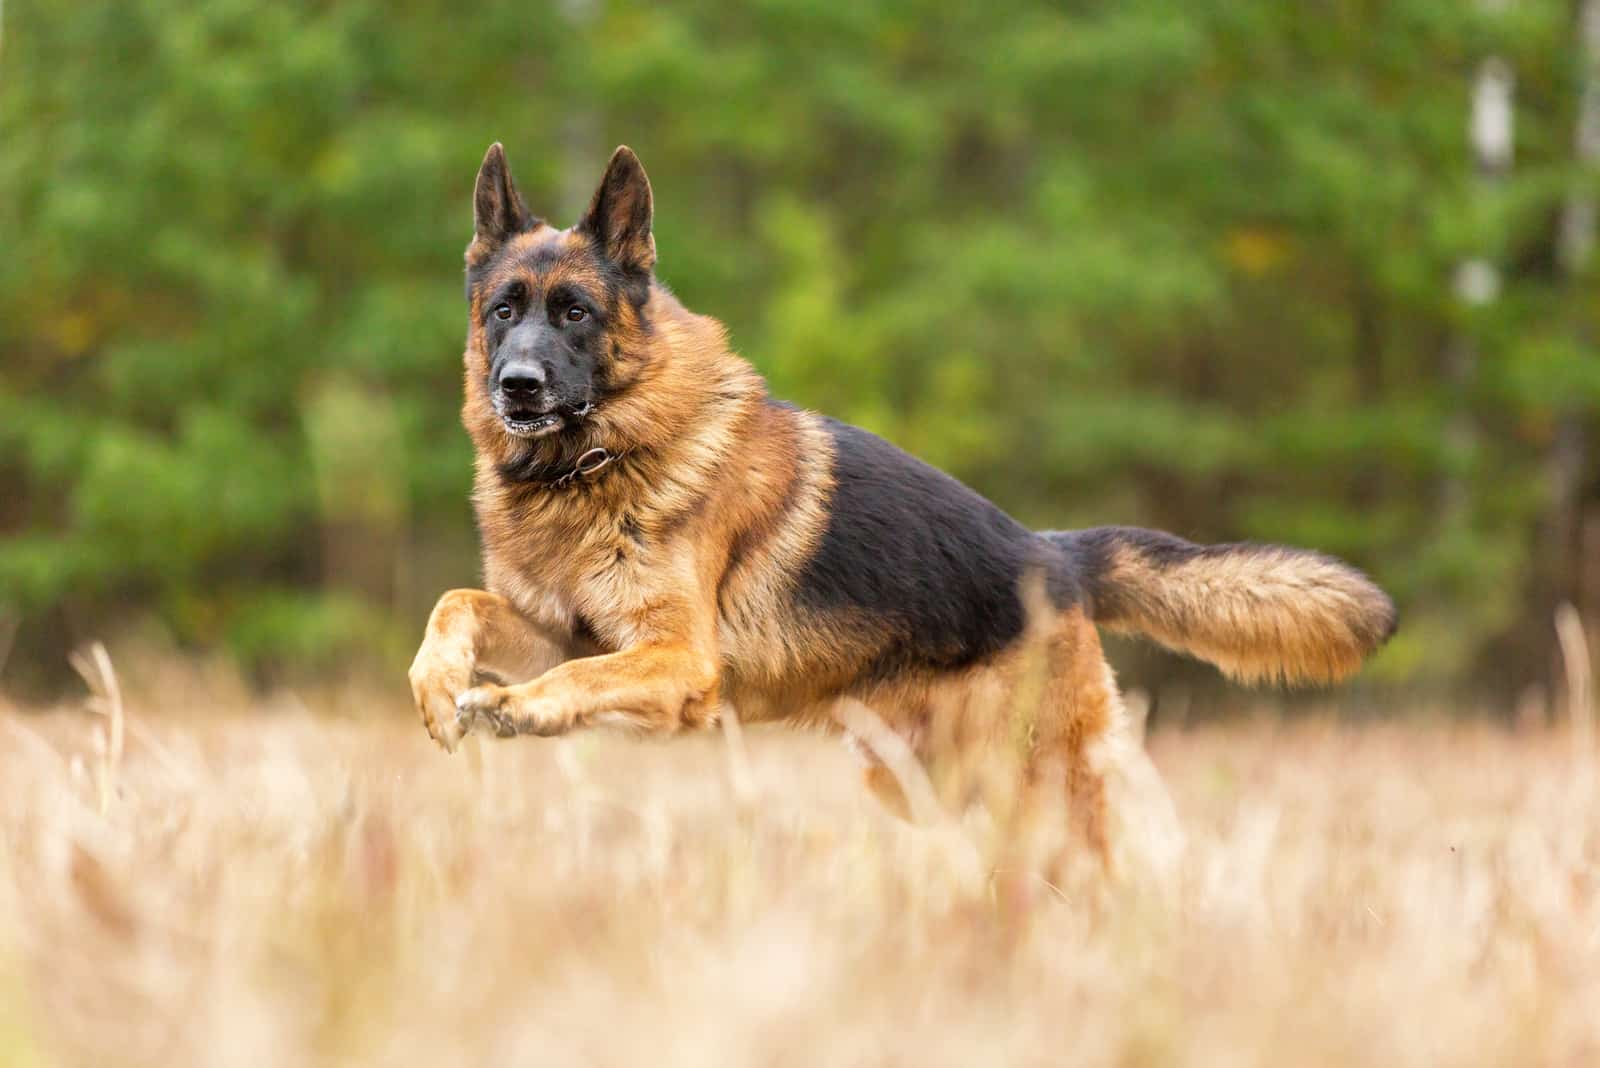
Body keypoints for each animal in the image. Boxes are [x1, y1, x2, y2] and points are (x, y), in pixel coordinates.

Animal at [412, 143, 1401, 876]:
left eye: (576, 313)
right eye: (504, 311)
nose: (517, 385)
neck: (594, 463)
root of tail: (1057, 555)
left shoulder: (675, 662)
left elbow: (572, 682)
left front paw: (514, 709)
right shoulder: (561, 632)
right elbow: (456, 606)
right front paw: (439, 687)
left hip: (1040, 788)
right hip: (930, 786)